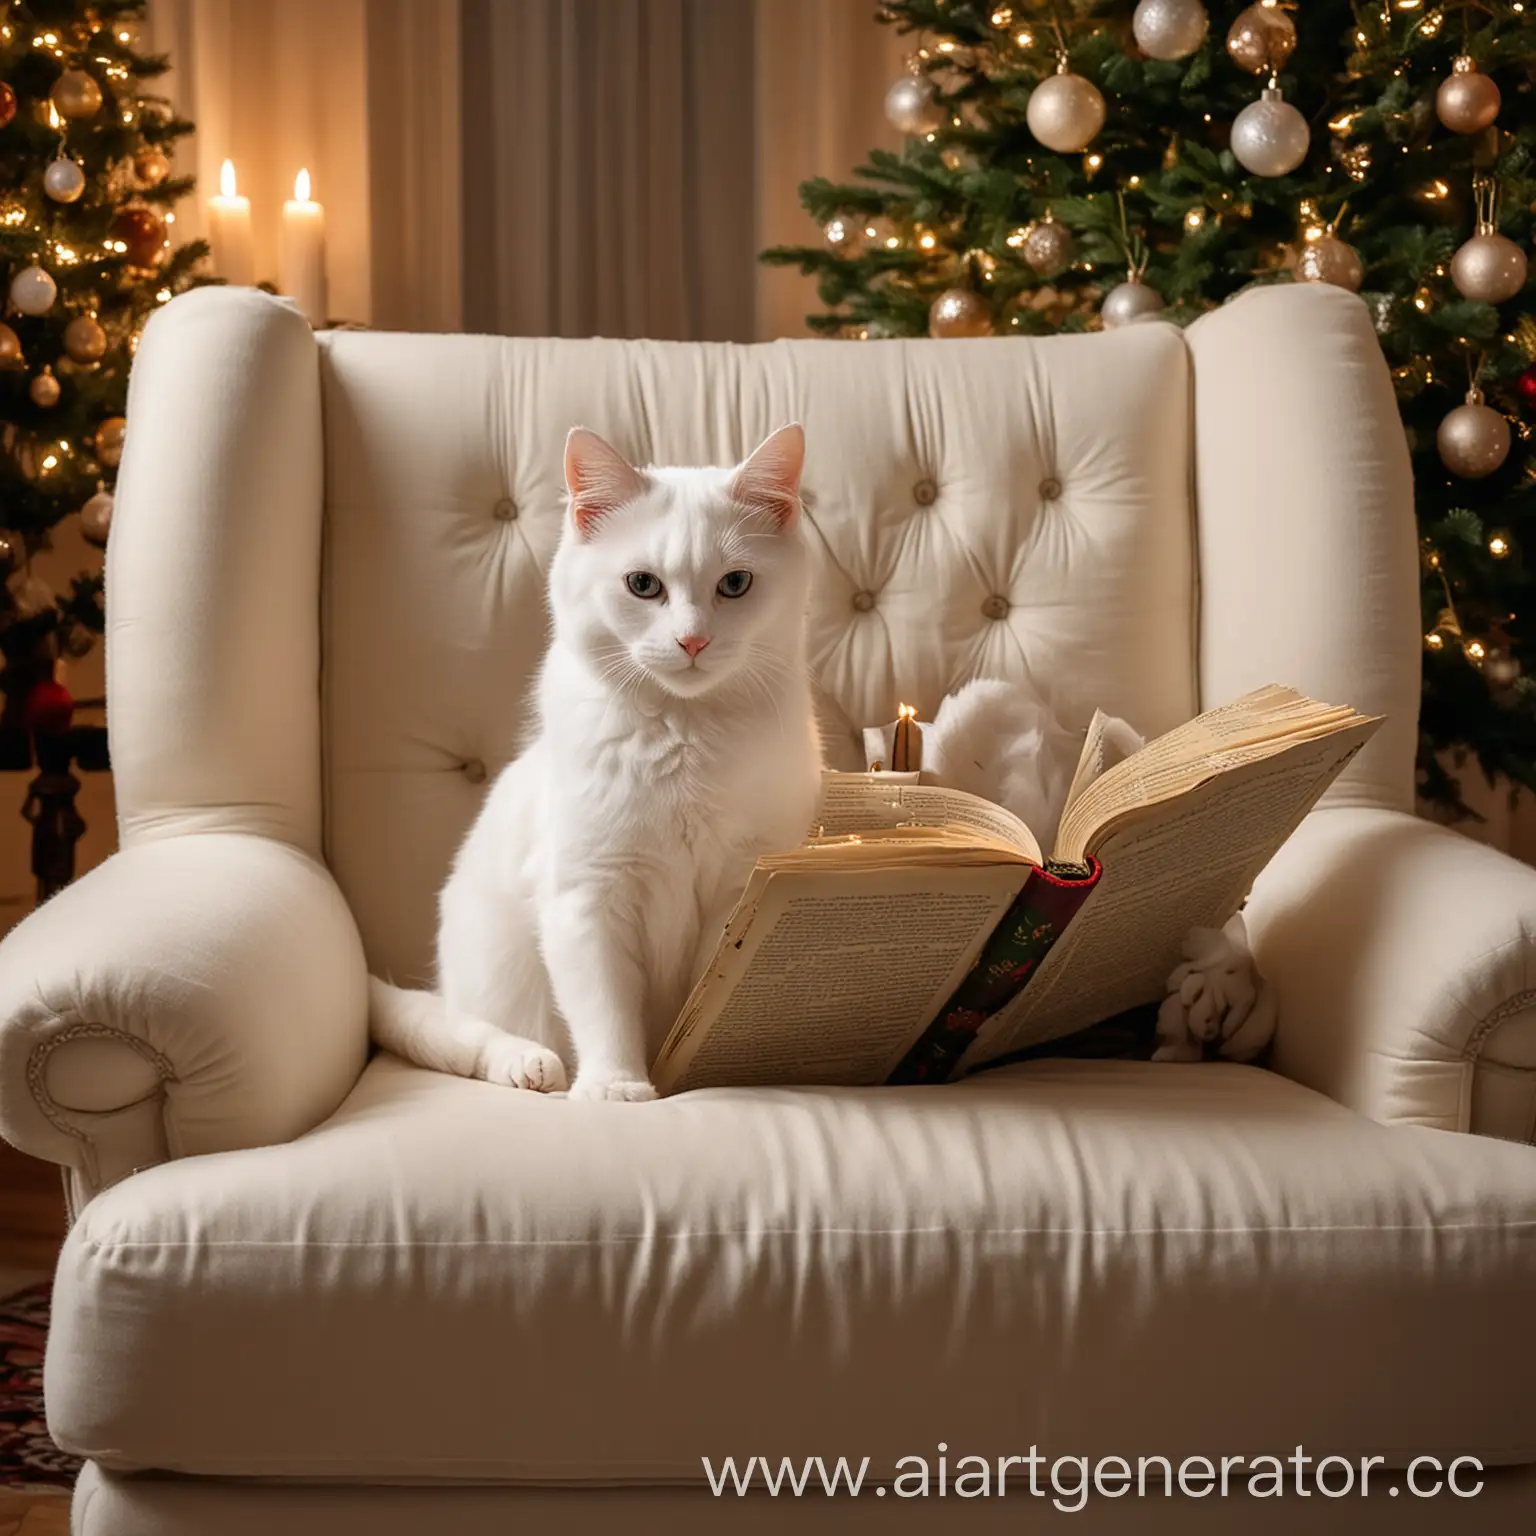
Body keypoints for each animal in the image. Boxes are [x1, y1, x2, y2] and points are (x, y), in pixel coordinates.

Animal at [368, 420, 829, 1099]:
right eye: (643, 584)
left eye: (735, 584)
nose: (693, 641)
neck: (685, 737)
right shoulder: (586, 895)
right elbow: (605, 1009)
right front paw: (617, 1086)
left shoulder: (735, 894)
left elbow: (697, 999)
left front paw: (686, 1069)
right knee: (468, 1034)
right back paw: (528, 1065)